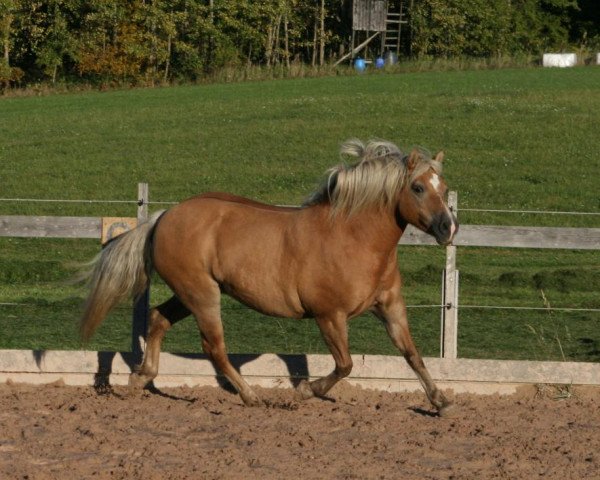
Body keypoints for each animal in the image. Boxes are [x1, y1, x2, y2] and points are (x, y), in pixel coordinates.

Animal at [81, 138, 460, 412]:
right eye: (418, 187)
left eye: (444, 188)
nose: (449, 228)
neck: (353, 238)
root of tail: (163, 218)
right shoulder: (329, 315)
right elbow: (345, 364)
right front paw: (306, 390)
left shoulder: (391, 308)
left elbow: (412, 354)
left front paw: (441, 402)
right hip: (202, 295)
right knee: (214, 347)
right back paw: (250, 396)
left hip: (190, 293)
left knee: (159, 319)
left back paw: (141, 378)